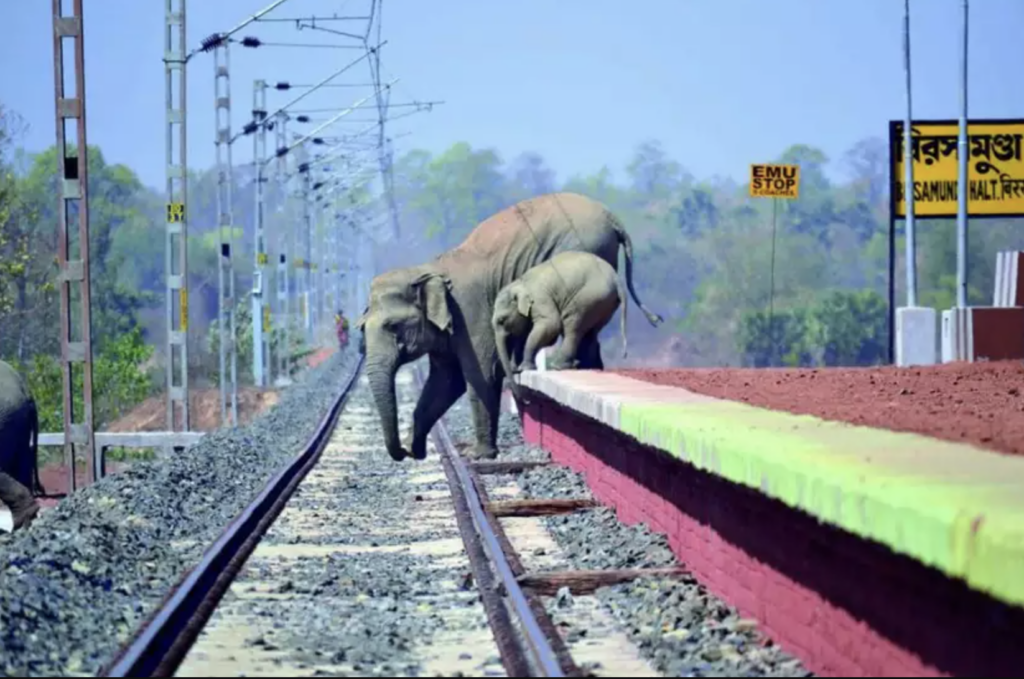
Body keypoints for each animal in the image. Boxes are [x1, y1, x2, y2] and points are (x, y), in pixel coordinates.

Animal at [492, 251, 628, 400]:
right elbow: (526, 332)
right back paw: (584, 366)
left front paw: (524, 368)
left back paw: (558, 366)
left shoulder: (540, 299)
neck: (520, 283)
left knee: (572, 326)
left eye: (502, 320)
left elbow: (551, 325)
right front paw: (517, 368)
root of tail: (616, 279)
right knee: (590, 332)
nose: (524, 399)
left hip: (588, 297)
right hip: (604, 302)